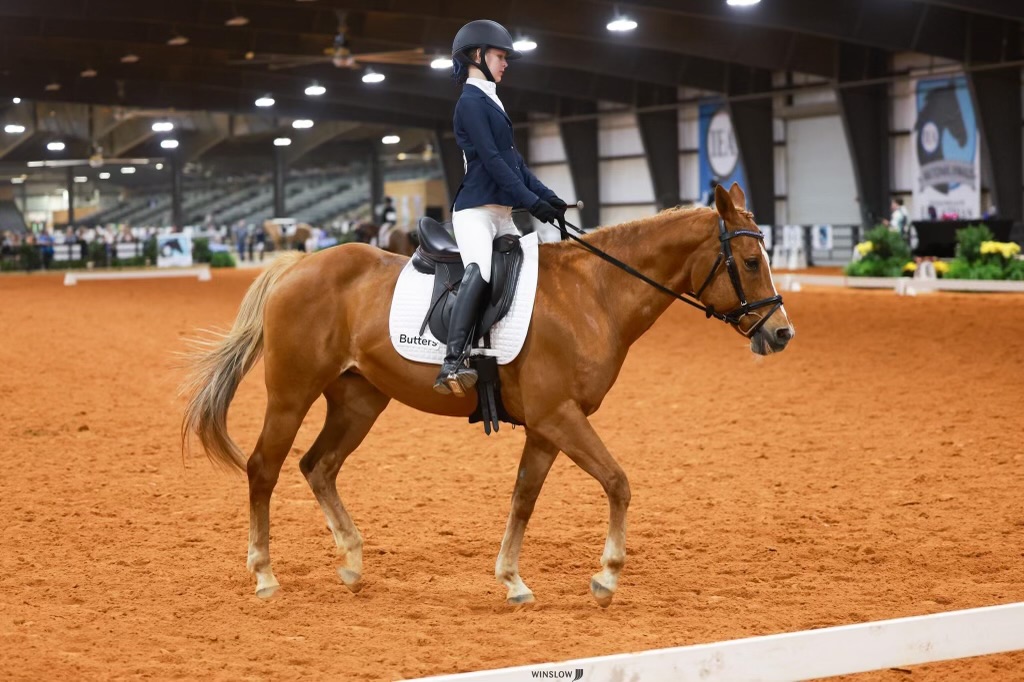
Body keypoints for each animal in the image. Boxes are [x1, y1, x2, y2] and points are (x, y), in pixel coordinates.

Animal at [180, 182, 794, 606]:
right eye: (748, 261)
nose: (781, 334)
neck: (592, 294)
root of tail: (298, 264)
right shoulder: (560, 416)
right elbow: (618, 482)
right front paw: (606, 576)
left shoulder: (548, 425)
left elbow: (524, 497)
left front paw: (513, 581)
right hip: (292, 394)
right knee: (264, 468)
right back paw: (265, 575)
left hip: (359, 400)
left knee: (318, 465)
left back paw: (352, 563)